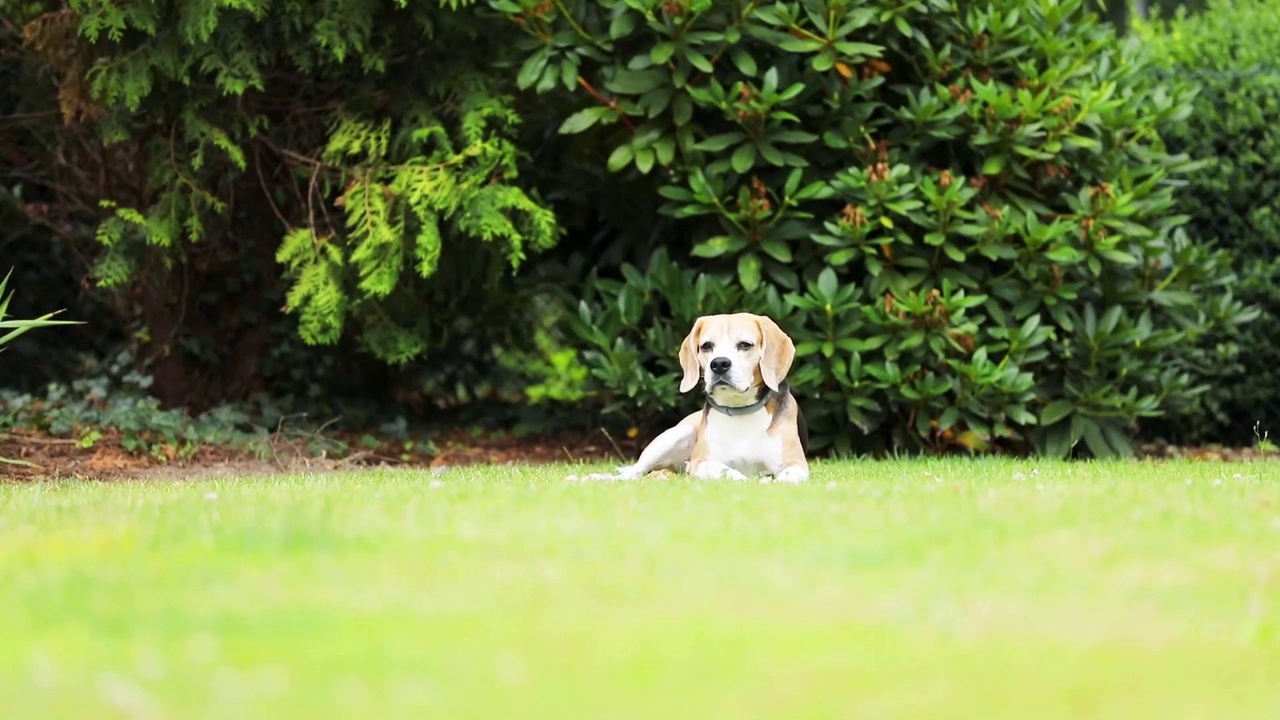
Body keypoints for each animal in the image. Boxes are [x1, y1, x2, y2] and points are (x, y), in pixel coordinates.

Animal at [581, 310, 808, 481]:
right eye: (706, 346)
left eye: (745, 344)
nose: (719, 364)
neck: (739, 410)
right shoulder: (701, 463)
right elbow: (726, 471)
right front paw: (744, 480)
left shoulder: (797, 464)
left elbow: (787, 476)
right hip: (671, 437)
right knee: (633, 473)